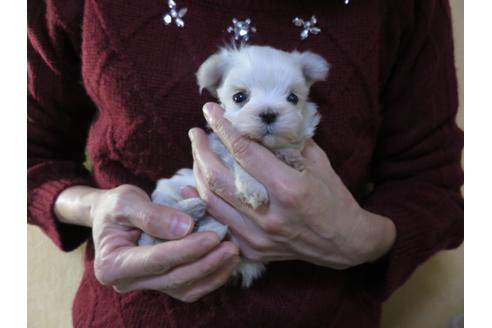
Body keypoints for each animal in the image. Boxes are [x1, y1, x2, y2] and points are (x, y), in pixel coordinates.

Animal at [138, 44, 328, 288]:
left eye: (293, 98)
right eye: (239, 97)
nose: (268, 114)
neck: (265, 147)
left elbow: (292, 146)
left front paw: (290, 157)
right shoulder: (223, 150)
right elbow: (239, 164)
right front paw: (254, 189)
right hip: (167, 194)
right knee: (159, 230)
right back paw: (194, 209)